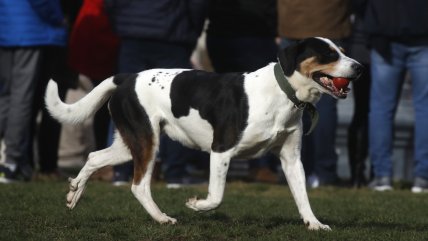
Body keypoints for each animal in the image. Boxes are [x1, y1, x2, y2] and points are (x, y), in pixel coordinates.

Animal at [46, 36, 362, 231]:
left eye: (343, 50)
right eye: (328, 54)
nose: (359, 67)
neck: (282, 93)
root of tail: (126, 77)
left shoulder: (291, 159)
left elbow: (302, 196)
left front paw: (314, 224)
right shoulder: (221, 150)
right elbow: (216, 196)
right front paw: (195, 204)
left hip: (130, 142)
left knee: (94, 157)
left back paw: (74, 193)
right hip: (148, 142)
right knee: (138, 185)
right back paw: (162, 218)